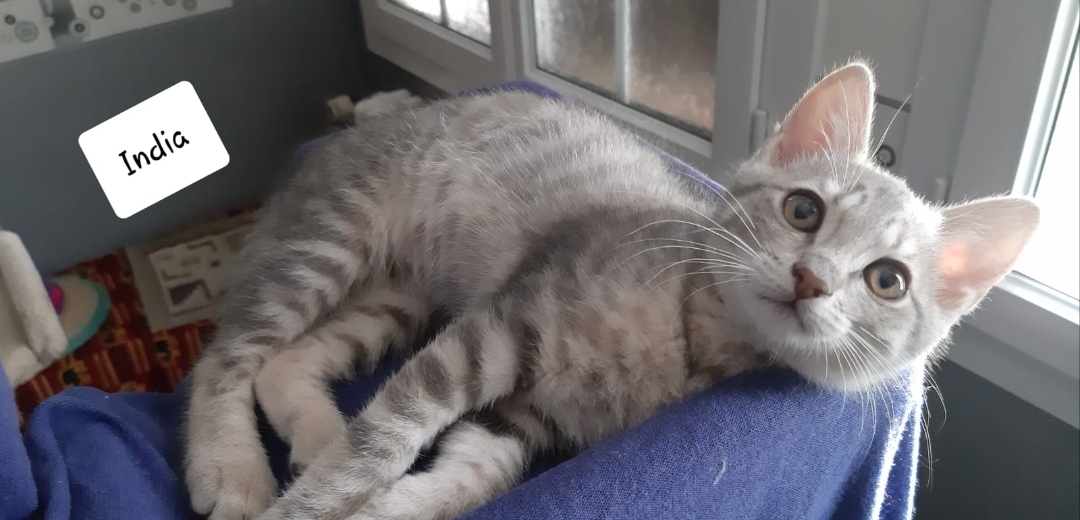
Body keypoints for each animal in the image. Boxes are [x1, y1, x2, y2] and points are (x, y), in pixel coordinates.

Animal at [183, 61, 1040, 520]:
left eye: (888, 281)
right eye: (804, 210)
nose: (812, 278)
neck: (692, 341)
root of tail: (365, 121)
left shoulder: (523, 420)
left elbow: (470, 478)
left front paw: (385, 504)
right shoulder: (498, 326)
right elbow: (389, 435)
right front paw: (313, 506)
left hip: (394, 300)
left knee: (286, 361)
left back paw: (316, 434)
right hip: (332, 238)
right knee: (227, 358)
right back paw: (236, 470)